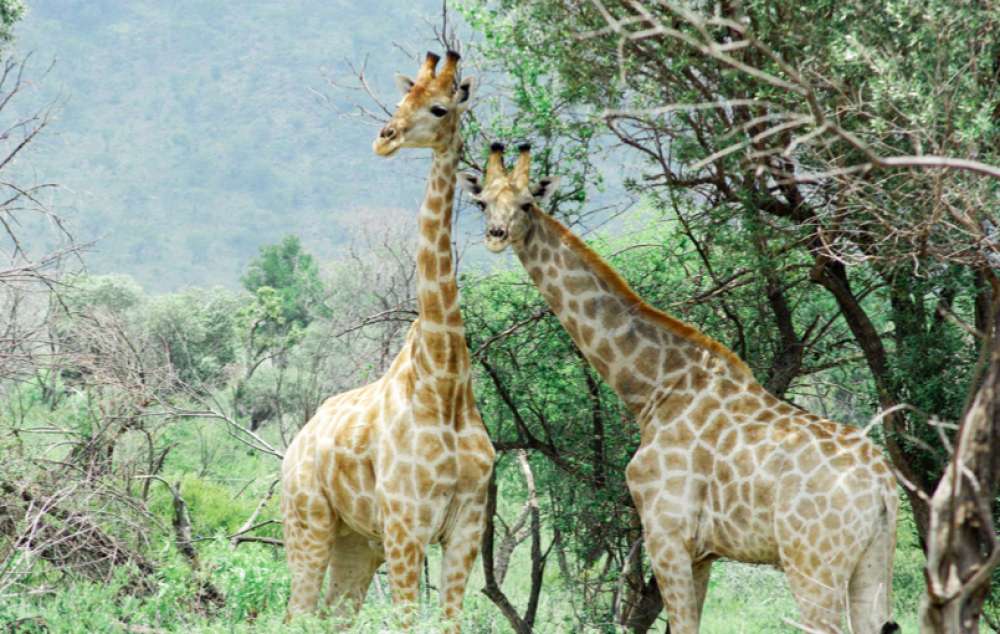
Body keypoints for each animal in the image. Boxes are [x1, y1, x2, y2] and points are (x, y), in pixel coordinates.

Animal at [282, 50, 492, 628]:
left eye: (439, 107)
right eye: (402, 99)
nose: (385, 137)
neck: (444, 381)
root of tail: (295, 443)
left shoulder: (466, 527)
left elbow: (449, 622)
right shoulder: (405, 524)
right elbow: (406, 620)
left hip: (357, 543)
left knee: (332, 616)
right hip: (307, 524)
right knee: (295, 614)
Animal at [458, 143, 904, 632]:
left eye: (526, 204)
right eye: (482, 202)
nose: (496, 235)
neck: (652, 389)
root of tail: (882, 486)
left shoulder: (667, 534)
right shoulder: (704, 552)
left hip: (812, 562)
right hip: (872, 564)